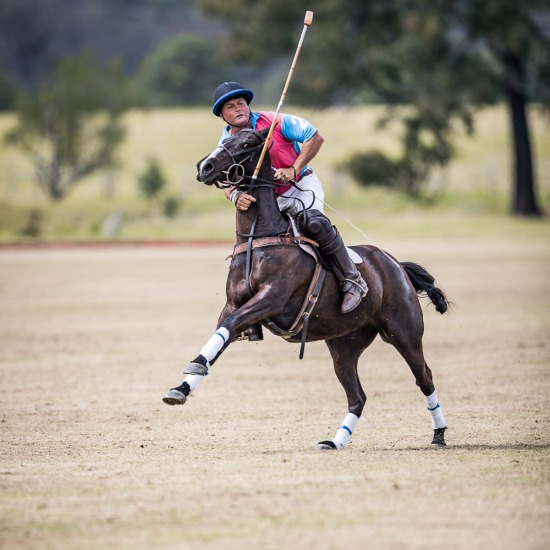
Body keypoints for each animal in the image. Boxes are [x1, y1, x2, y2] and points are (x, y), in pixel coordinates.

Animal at [162, 129, 450, 452]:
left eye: (247, 143)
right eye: (227, 138)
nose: (205, 167)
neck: (259, 236)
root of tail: (396, 264)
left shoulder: (272, 299)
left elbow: (230, 325)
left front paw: (193, 369)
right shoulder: (234, 303)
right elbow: (221, 335)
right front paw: (181, 388)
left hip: (404, 332)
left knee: (424, 378)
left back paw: (439, 434)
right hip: (344, 345)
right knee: (358, 397)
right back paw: (335, 442)